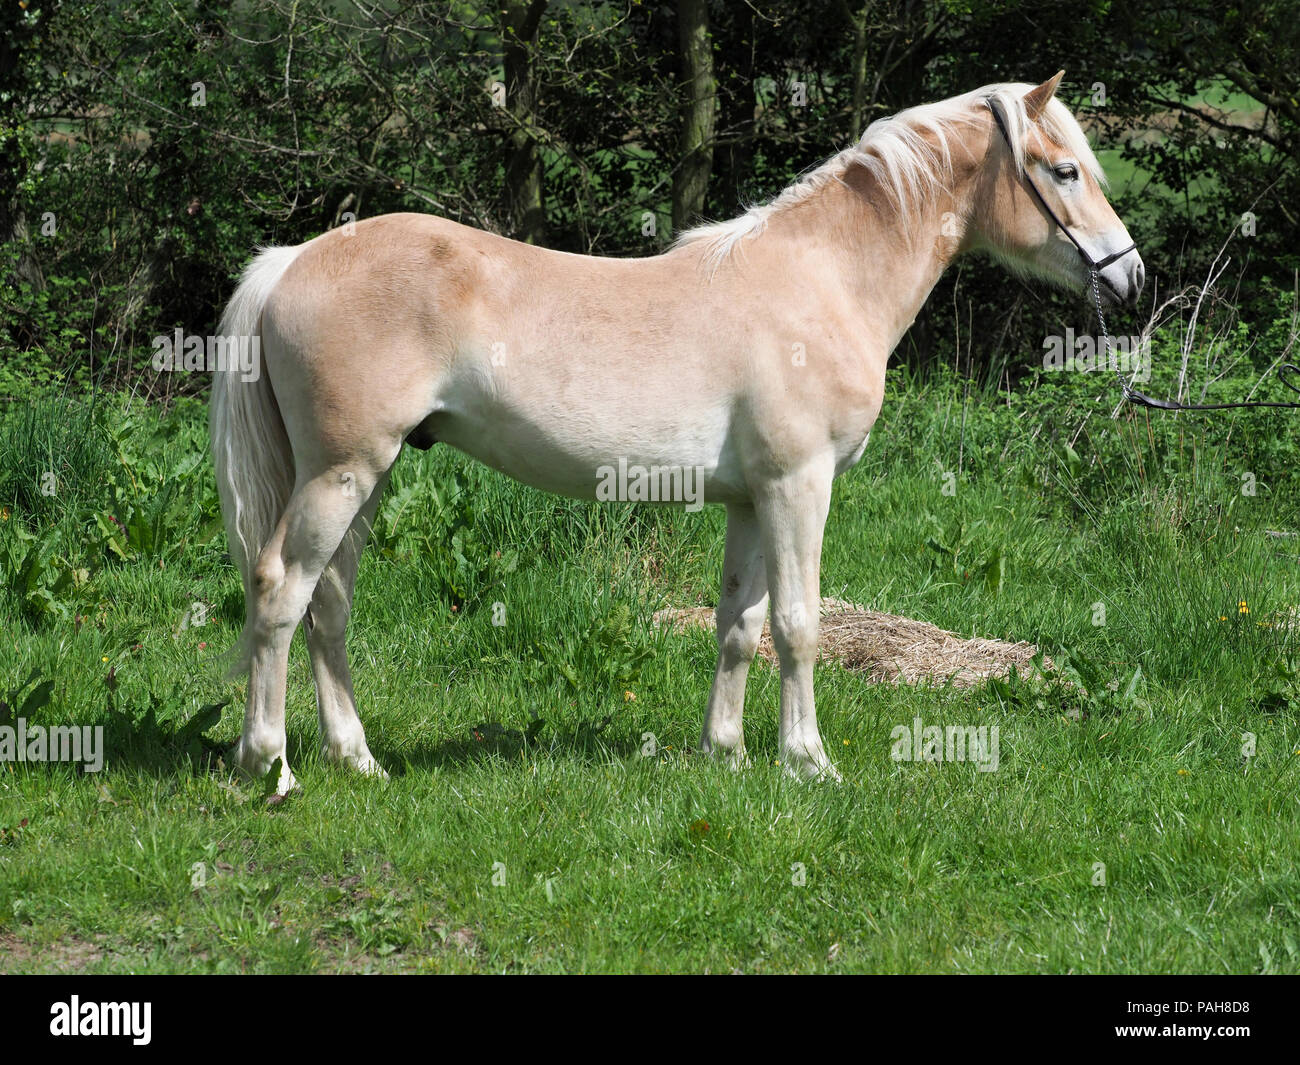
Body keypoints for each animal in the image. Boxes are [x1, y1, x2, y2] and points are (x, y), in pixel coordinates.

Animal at [208, 70, 1144, 790]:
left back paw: (356, 758)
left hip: (365, 476)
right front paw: (809, 762)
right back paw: (270, 765)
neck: (823, 279)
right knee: (281, 591)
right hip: (342, 472)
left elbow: (739, 624)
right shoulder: (798, 484)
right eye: (1064, 170)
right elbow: (798, 625)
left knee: (328, 603)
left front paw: (725, 753)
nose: (1129, 275)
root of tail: (290, 260)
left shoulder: (750, 498)